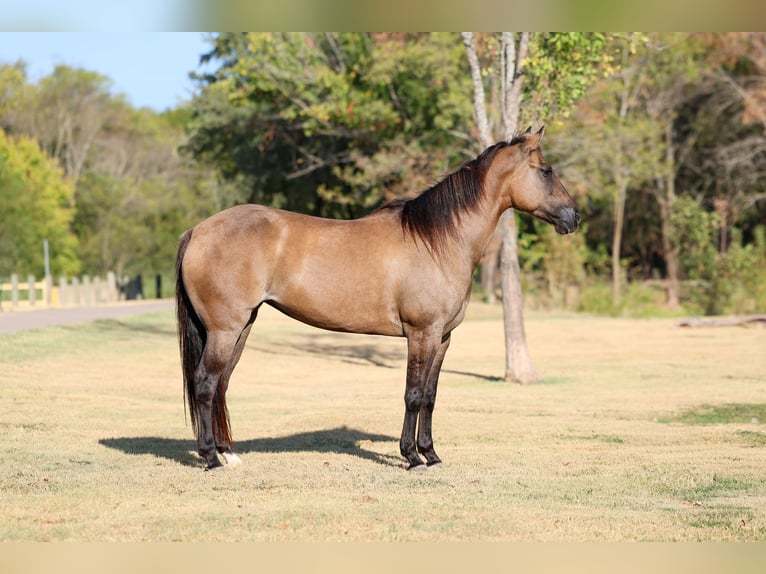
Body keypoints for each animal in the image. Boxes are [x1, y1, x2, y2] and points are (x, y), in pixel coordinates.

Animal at [175, 126, 580, 471]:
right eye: (546, 171)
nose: (574, 217)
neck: (437, 241)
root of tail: (198, 230)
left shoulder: (442, 338)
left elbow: (430, 396)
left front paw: (431, 454)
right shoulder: (421, 334)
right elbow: (413, 394)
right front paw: (411, 457)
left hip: (240, 328)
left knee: (221, 384)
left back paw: (229, 454)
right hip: (225, 330)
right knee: (206, 383)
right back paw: (211, 458)